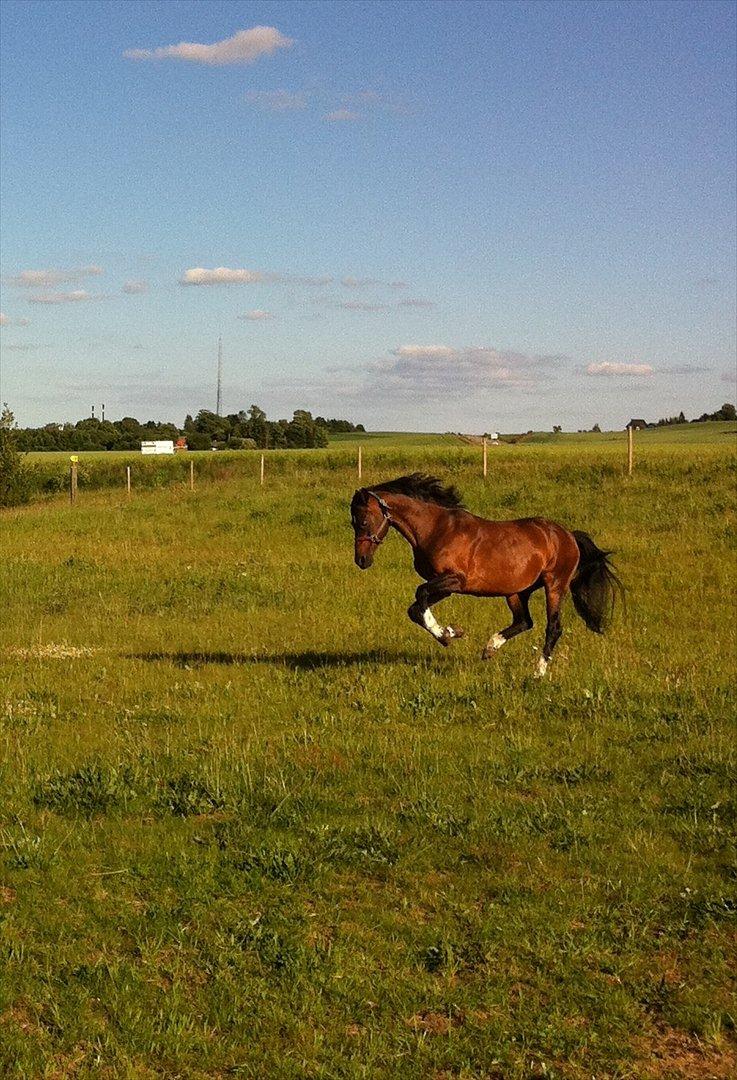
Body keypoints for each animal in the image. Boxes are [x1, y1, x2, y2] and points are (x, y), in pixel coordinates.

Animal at [350, 473, 622, 677]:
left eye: (362, 521)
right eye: (352, 522)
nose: (361, 561)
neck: (435, 528)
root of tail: (567, 535)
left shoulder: (454, 580)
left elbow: (420, 594)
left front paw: (445, 635)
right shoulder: (445, 586)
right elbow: (415, 608)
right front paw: (452, 632)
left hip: (554, 585)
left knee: (552, 627)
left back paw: (537, 673)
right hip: (517, 591)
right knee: (524, 621)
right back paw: (490, 648)